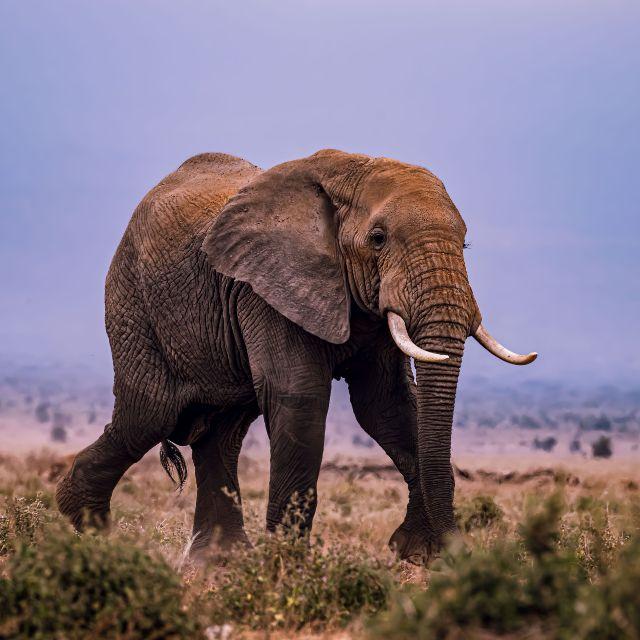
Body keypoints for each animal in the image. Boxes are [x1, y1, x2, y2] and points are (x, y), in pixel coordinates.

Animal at [56, 149, 536, 560]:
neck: (352, 171)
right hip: (132, 301)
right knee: (149, 413)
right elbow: (300, 399)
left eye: (466, 244)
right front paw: (286, 573)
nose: (460, 555)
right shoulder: (266, 287)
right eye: (378, 238)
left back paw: (219, 565)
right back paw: (85, 527)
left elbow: (389, 406)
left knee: (221, 434)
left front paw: (419, 555)